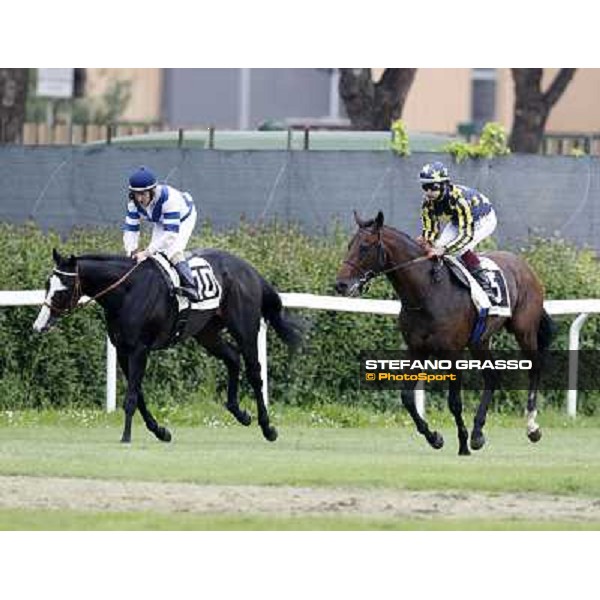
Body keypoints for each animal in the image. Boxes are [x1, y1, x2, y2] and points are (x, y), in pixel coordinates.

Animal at [31, 247, 302, 440]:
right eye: (47, 285)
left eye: (62, 290)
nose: (39, 325)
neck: (128, 292)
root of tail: (249, 269)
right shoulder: (123, 350)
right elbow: (138, 393)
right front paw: (160, 431)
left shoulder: (140, 349)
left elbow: (131, 396)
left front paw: (126, 436)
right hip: (206, 333)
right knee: (232, 358)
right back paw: (240, 413)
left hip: (245, 329)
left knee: (255, 373)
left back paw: (267, 427)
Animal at [332, 211, 552, 454]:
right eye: (350, 245)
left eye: (365, 247)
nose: (341, 284)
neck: (426, 294)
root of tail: (525, 266)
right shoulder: (416, 349)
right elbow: (407, 397)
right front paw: (434, 437)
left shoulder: (452, 353)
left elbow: (454, 401)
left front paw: (462, 443)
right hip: (480, 340)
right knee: (492, 376)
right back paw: (478, 432)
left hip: (524, 330)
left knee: (535, 368)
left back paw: (532, 427)